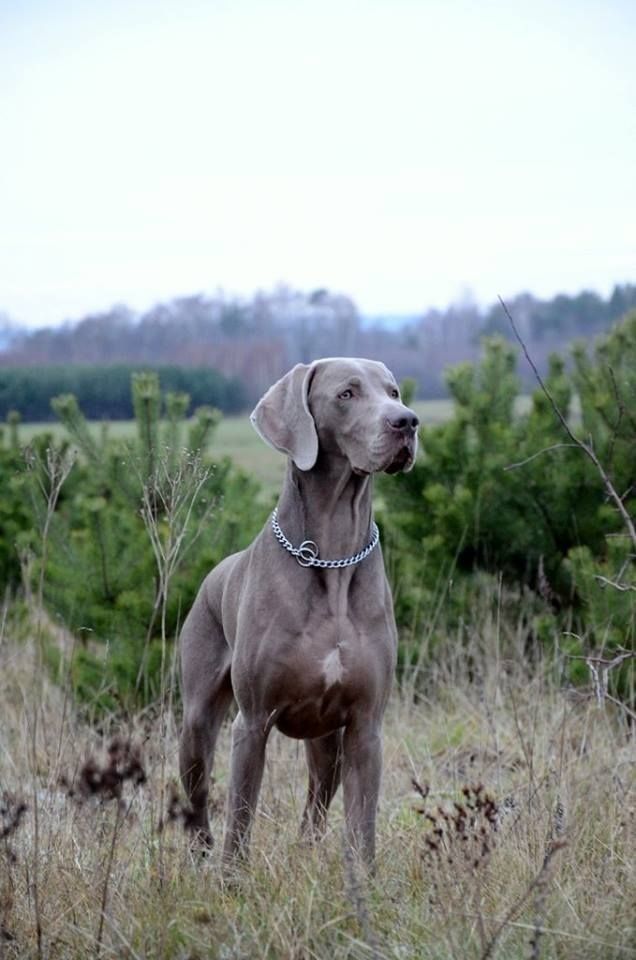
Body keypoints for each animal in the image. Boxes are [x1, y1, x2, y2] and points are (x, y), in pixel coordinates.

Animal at [178, 356, 418, 868]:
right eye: (347, 394)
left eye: (393, 391)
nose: (407, 422)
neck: (333, 558)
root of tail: (212, 575)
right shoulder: (252, 723)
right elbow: (240, 818)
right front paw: (231, 878)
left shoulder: (366, 726)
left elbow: (361, 824)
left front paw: (362, 879)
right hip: (197, 722)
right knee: (199, 794)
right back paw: (200, 856)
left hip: (326, 741)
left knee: (316, 803)